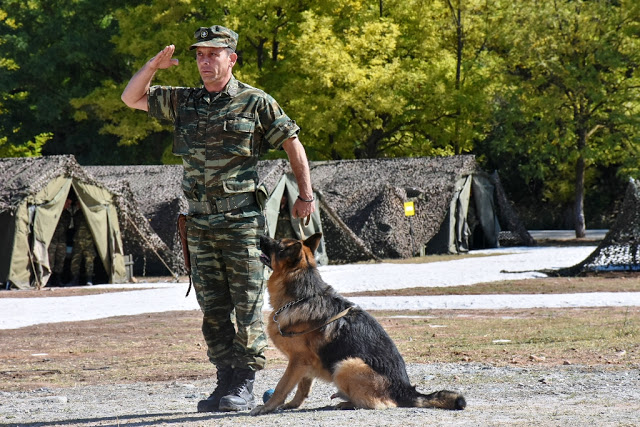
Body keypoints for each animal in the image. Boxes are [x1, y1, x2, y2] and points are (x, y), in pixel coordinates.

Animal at [250, 232, 464, 416]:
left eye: (277, 244)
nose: (259, 236)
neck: (302, 296)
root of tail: (405, 391)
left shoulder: (297, 361)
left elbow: (282, 386)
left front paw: (266, 407)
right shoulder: (305, 363)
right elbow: (302, 387)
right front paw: (293, 404)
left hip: (347, 364)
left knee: (379, 404)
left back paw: (347, 403)